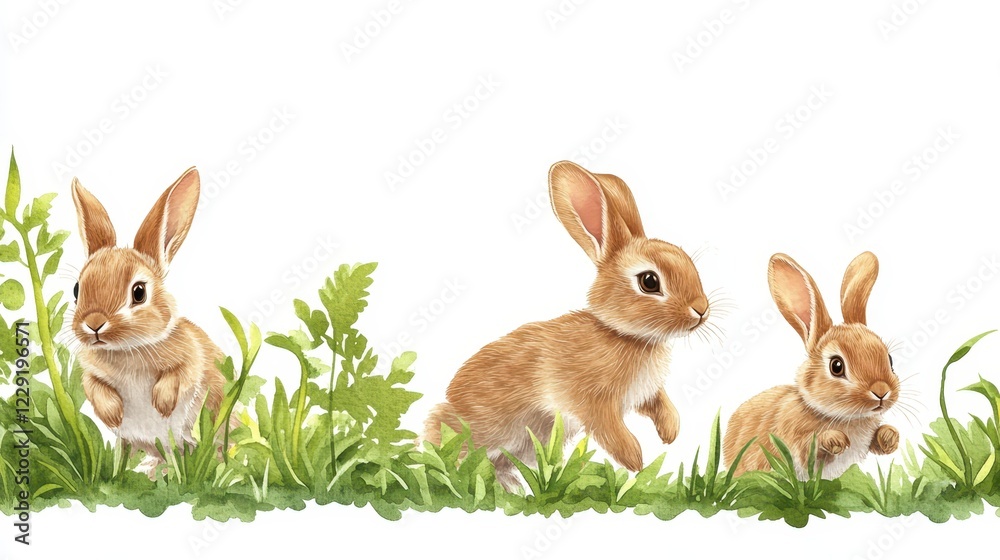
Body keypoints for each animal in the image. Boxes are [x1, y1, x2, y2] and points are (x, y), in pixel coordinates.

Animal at [70, 167, 226, 477]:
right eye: (77, 290)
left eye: (139, 292)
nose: (94, 324)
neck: (127, 350)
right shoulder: (91, 375)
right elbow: (95, 388)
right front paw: (113, 413)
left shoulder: (192, 360)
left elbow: (181, 374)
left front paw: (161, 402)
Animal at [423, 160, 713, 491]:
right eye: (649, 282)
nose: (701, 310)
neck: (626, 335)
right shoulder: (592, 403)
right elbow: (610, 431)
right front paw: (635, 460)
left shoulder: (646, 394)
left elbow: (660, 404)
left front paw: (670, 432)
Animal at [723, 252, 900, 480]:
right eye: (836, 366)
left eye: (890, 359)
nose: (881, 391)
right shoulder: (793, 438)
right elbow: (810, 446)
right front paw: (835, 439)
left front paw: (889, 437)